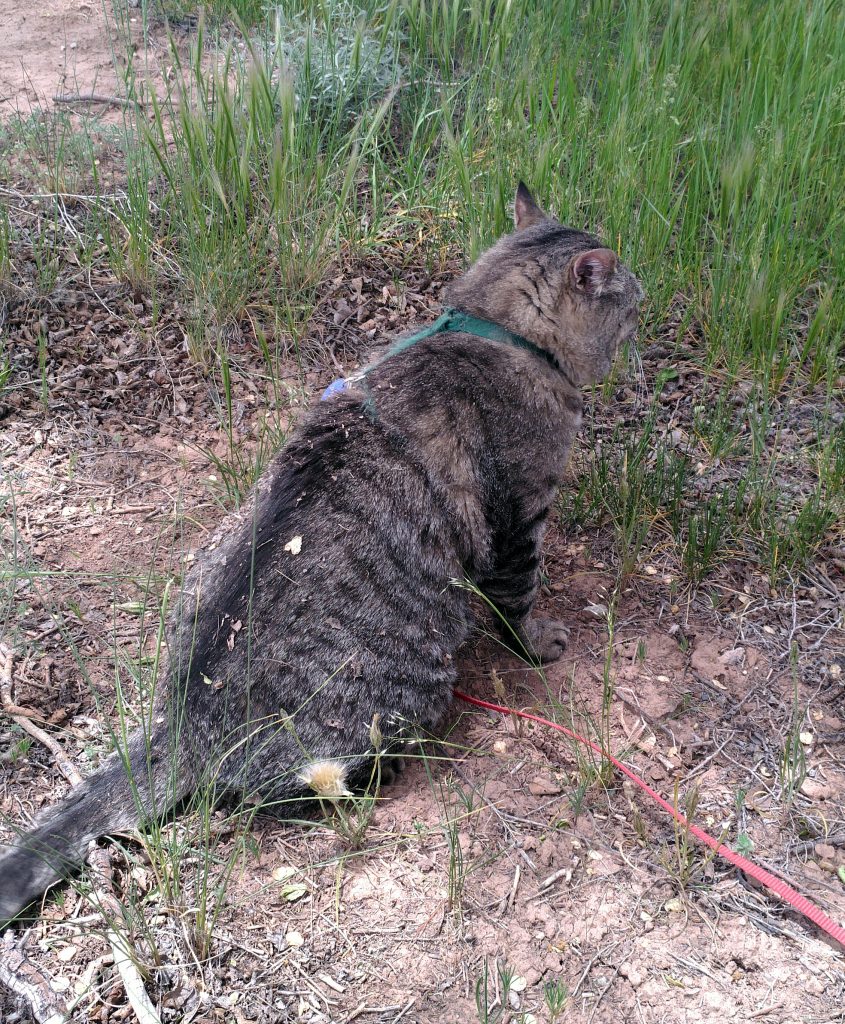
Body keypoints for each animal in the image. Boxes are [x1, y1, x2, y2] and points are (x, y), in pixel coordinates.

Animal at [0, 180, 639, 925]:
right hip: (401, 694)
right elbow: (519, 597)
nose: (648, 302)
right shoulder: (520, 516)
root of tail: (188, 722)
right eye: (629, 301)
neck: (491, 327)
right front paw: (537, 641)